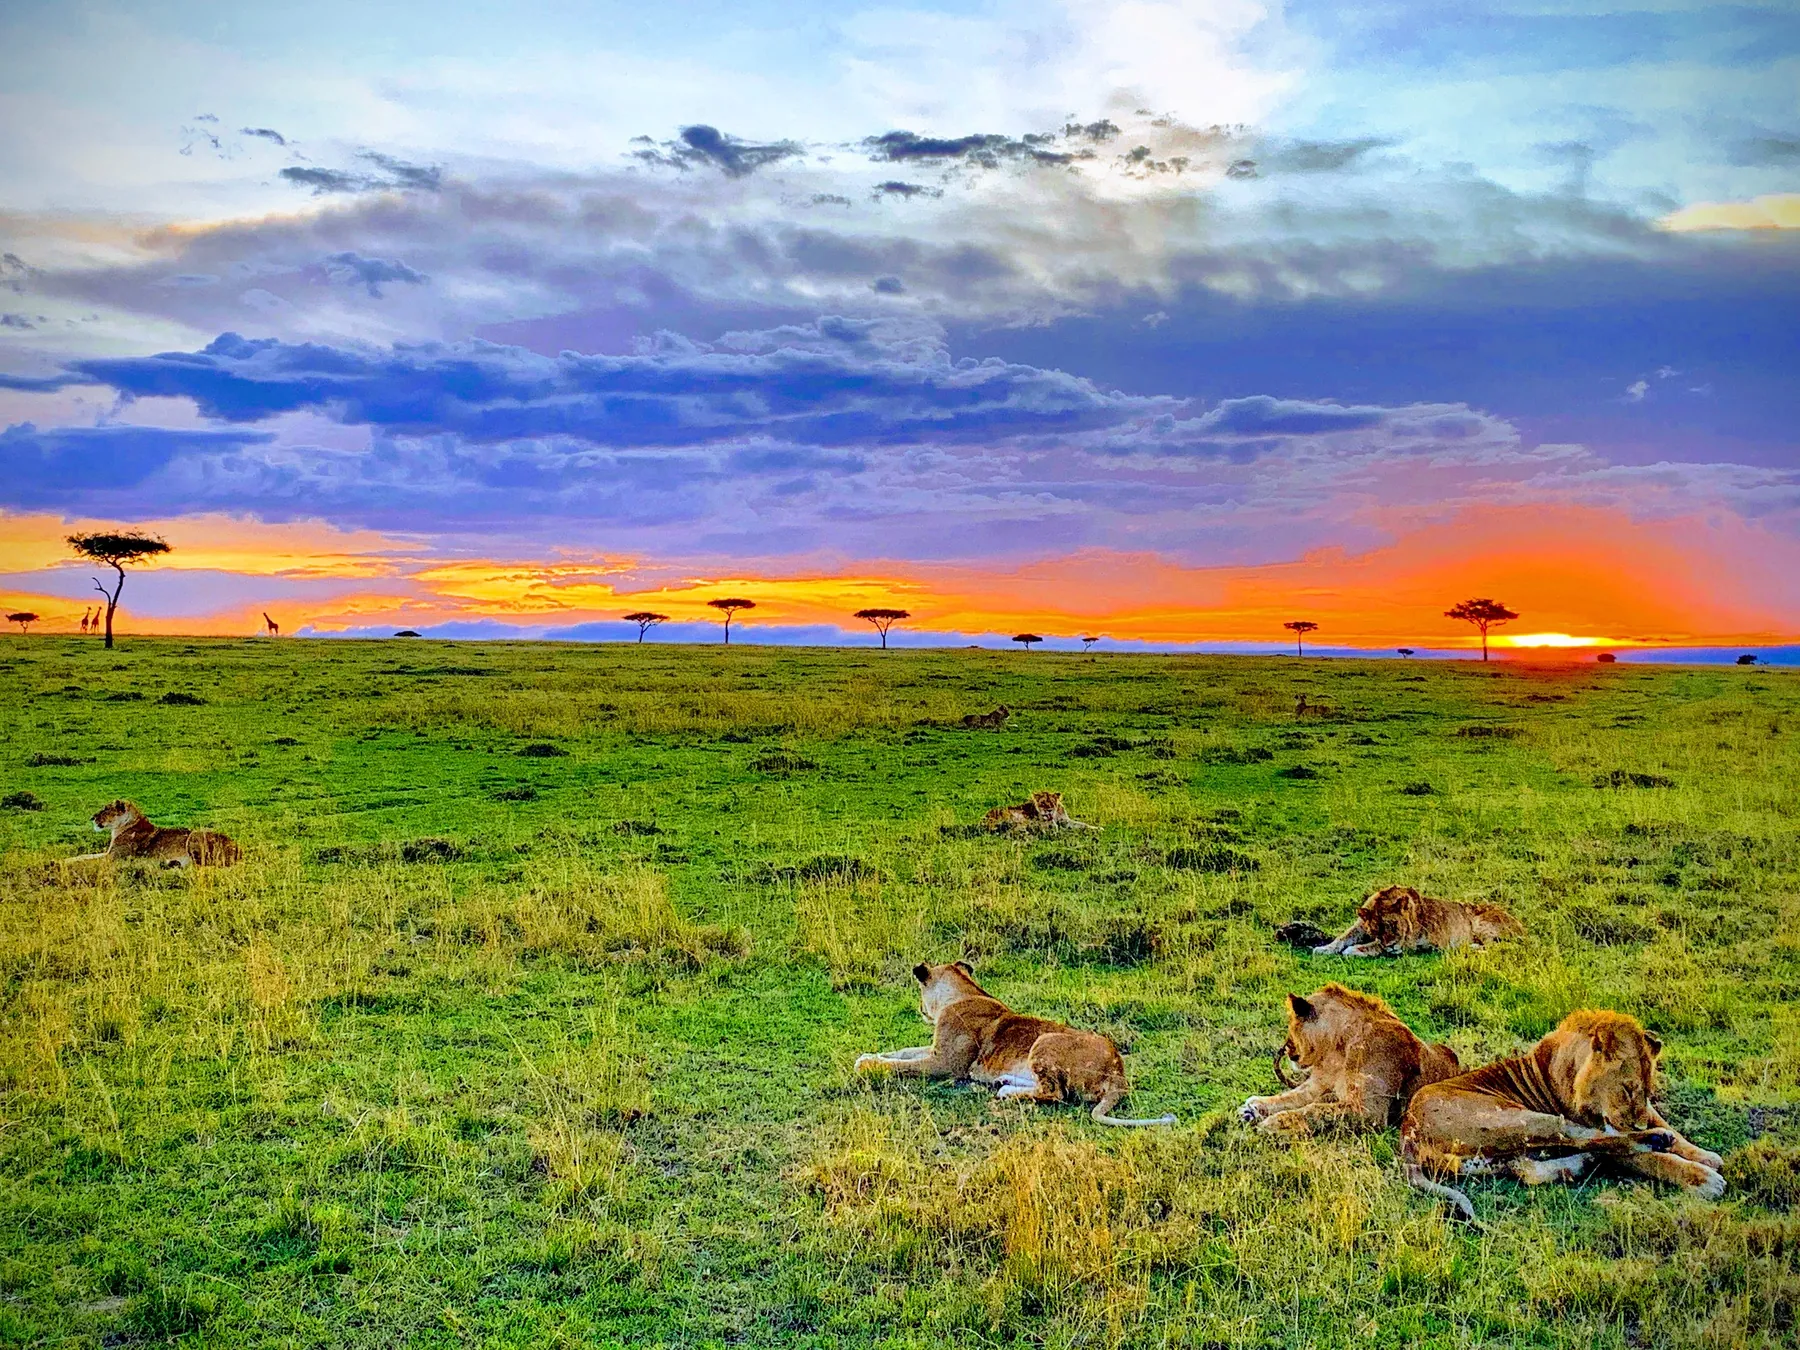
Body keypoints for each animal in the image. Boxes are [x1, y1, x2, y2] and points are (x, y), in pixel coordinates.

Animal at [69, 800, 241, 867]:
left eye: (105, 809)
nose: (92, 818)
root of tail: (238, 848)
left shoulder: (113, 858)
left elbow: (88, 860)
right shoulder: (108, 854)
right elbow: (84, 856)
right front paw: (66, 859)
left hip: (194, 836)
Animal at [855, 960, 1175, 1126]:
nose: (919, 1010)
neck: (962, 993)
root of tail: (1119, 1072)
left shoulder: (946, 1064)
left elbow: (902, 1066)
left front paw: (866, 1064)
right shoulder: (935, 1051)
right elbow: (902, 1052)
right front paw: (872, 1054)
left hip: (1045, 1040)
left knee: (1055, 1093)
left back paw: (1006, 1090)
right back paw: (1004, 1081)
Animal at [1239, 984, 1461, 1134]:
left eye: (1291, 1025)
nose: (1286, 1047)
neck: (1337, 1049)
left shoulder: (1370, 1111)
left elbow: (1313, 1110)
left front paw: (1274, 1123)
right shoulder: (1315, 1086)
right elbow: (1289, 1097)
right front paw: (1254, 1106)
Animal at [1314, 885, 1523, 957]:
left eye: (1393, 925)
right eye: (1375, 930)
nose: (1392, 946)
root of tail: (1522, 927)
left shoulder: (1407, 943)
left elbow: (1376, 946)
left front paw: (1354, 950)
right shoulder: (1359, 926)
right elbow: (1343, 937)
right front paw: (1324, 948)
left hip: (1480, 923)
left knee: (1501, 947)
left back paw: (1470, 948)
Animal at [1401, 1009, 1724, 1221]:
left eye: (1647, 1090)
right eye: (1627, 1089)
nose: (1638, 1124)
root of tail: (1406, 1131)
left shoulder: (1643, 1113)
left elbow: (1669, 1126)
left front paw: (1706, 1156)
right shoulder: (1611, 1126)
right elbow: (1654, 1159)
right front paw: (1704, 1177)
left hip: (1498, 1155)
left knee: (1528, 1170)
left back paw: (1584, 1162)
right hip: (1519, 1119)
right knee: (1588, 1140)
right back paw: (1653, 1140)